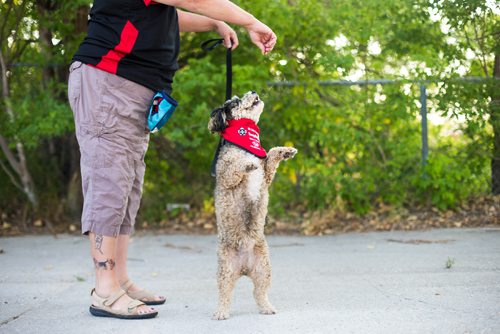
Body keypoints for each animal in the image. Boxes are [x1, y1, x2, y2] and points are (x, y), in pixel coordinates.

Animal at [207, 90, 296, 320]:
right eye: (235, 101)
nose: (253, 92)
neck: (245, 143)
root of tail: (244, 268)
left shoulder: (266, 176)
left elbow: (271, 153)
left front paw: (286, 151)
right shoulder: (226, 175)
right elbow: (235, 167)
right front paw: (246, 164)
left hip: (263, 269)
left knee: (259, 293)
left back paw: (267, 307)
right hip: (226, 271)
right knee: (225, 295)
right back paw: (221, 312)